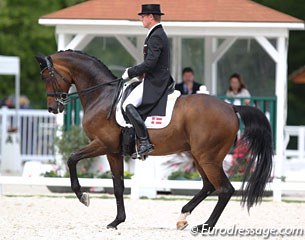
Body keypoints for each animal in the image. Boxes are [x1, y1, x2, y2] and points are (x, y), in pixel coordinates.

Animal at [35, 50, 270, 232]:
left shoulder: (102, 144)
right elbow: (118, 186)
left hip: (208, 157)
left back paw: (205, 226)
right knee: (208, 186)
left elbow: (72, 159)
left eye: (46, 77)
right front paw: (116, 221)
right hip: (198, 156)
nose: (53, 108)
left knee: (224, 189)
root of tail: (231, 107)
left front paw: (82, 196)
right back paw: (183, 217)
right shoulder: (113, 152)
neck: (102, 95)